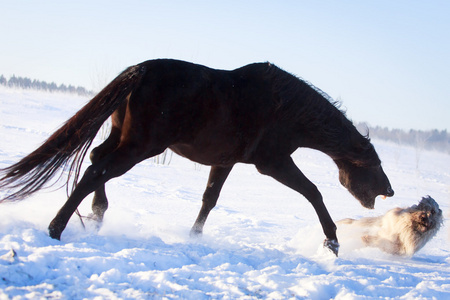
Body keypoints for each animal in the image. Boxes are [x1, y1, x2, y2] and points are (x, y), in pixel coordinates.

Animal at [0, 59, 392, 255]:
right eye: (374, 165)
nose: (389, 191)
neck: (286, 108)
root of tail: (140, 71)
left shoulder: (225, 161)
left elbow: (209, 199)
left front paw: (194, 236)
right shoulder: (273, 163)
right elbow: (313, 192)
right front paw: (332, 241)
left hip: (123, 137)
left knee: (97, 161)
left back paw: (96, 215)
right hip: (141, 146)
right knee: (98, 171)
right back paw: (55, 228)